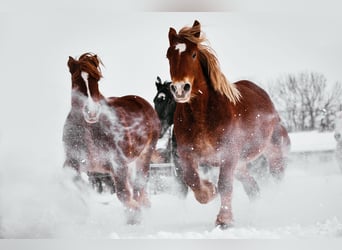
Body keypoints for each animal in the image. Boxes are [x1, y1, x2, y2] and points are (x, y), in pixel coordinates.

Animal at [62, 52, 160, 225]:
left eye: (96, 79)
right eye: (76, 79)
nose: (92, 112)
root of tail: (141, 101)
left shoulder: (118, 164)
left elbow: (123, 193)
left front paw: (134, 216)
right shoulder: (73, 162)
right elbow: (75, 182)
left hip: (144, 155)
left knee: (139, 186)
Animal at [167, 21, 290, 229]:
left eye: (193, 54)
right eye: (168, 55)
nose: (180, 89)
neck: (203, 116)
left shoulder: (228, 154)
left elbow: (224, 185)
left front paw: (224, 220)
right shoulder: (186, 155)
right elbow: (192, 180)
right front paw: (209, 191)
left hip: (272, 153)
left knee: (277, 179)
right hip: (240, 165)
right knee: (253, 189)